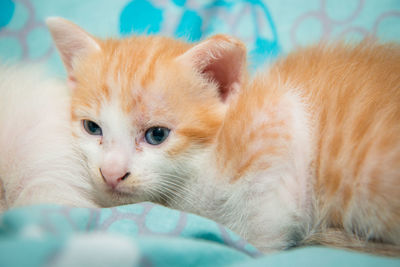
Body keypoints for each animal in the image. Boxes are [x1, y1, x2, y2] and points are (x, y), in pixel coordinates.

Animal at [47, 17, 400, 255]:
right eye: (92, 128)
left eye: (157, 135)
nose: (111, 173)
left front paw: (257, 248)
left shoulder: (278, 118)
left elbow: (264, 220)